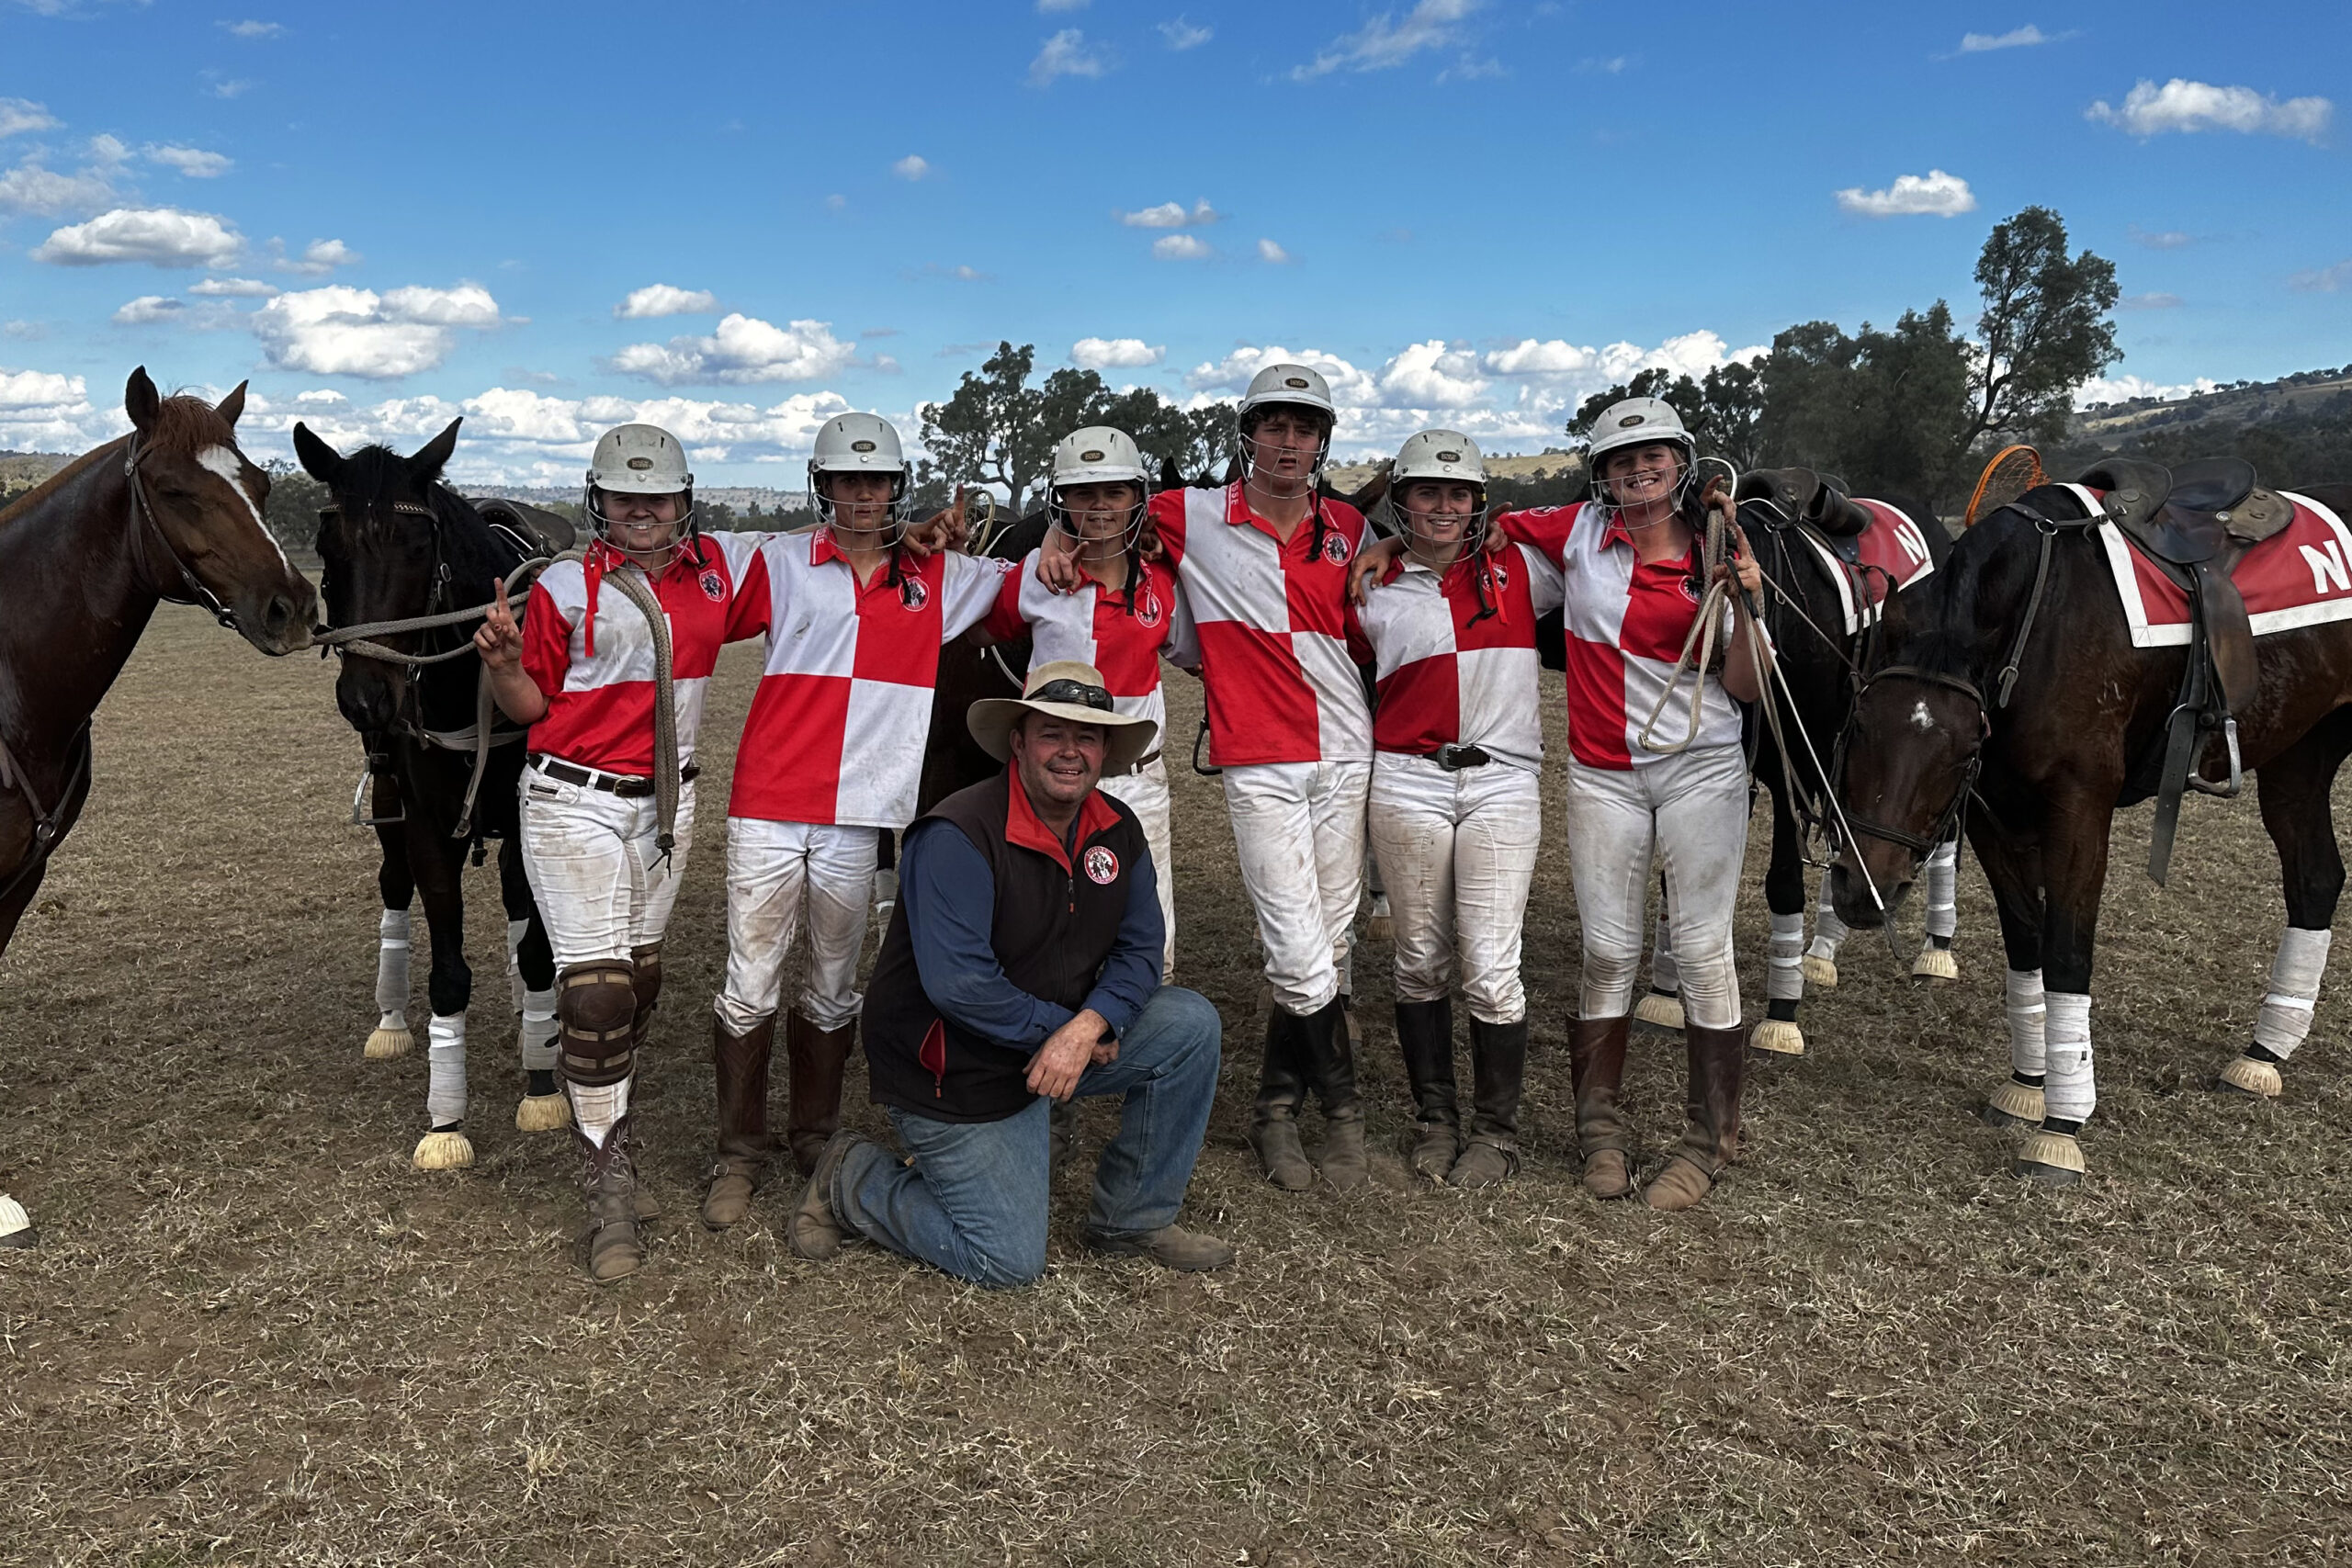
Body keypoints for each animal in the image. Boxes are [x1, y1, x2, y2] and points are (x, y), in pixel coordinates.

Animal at [296, 423, 571, 1170]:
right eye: (329, 545)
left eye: (419, 547)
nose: (365, 697)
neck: (467, 684)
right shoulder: (421, 821)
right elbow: (446, 968)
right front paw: (445, 1121)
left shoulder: (529, 813)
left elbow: (536, 947)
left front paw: (542, 1083)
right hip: (388, 790)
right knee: (393, 884)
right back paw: (391, 1018)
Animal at [1825, 472, 2352, 1184]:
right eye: (1859, 724)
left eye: (1961, 750)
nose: (1863, 890)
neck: (2039, 619)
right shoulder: (1994, 812)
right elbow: (2027, 943)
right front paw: (2027, 1083)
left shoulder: (2079, 808)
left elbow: (2066, 950)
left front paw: (2063, 1124)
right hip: (2299, 758)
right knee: (2316, 880)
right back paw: (2263, 1053)